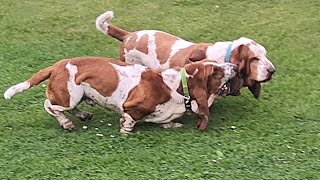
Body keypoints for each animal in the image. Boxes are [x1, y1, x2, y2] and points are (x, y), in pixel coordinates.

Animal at [3, 57, 238, 133]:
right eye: (216, 71)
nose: (235, 66)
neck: (178, 87)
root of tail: (56, 66)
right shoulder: (131, 108)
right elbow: (129, 122)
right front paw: (126, 131)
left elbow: (166, 121)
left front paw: (173, 124)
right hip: (68, 97)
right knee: (49, 105)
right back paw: (66, 123)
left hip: (76, 97)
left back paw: (83, 116)